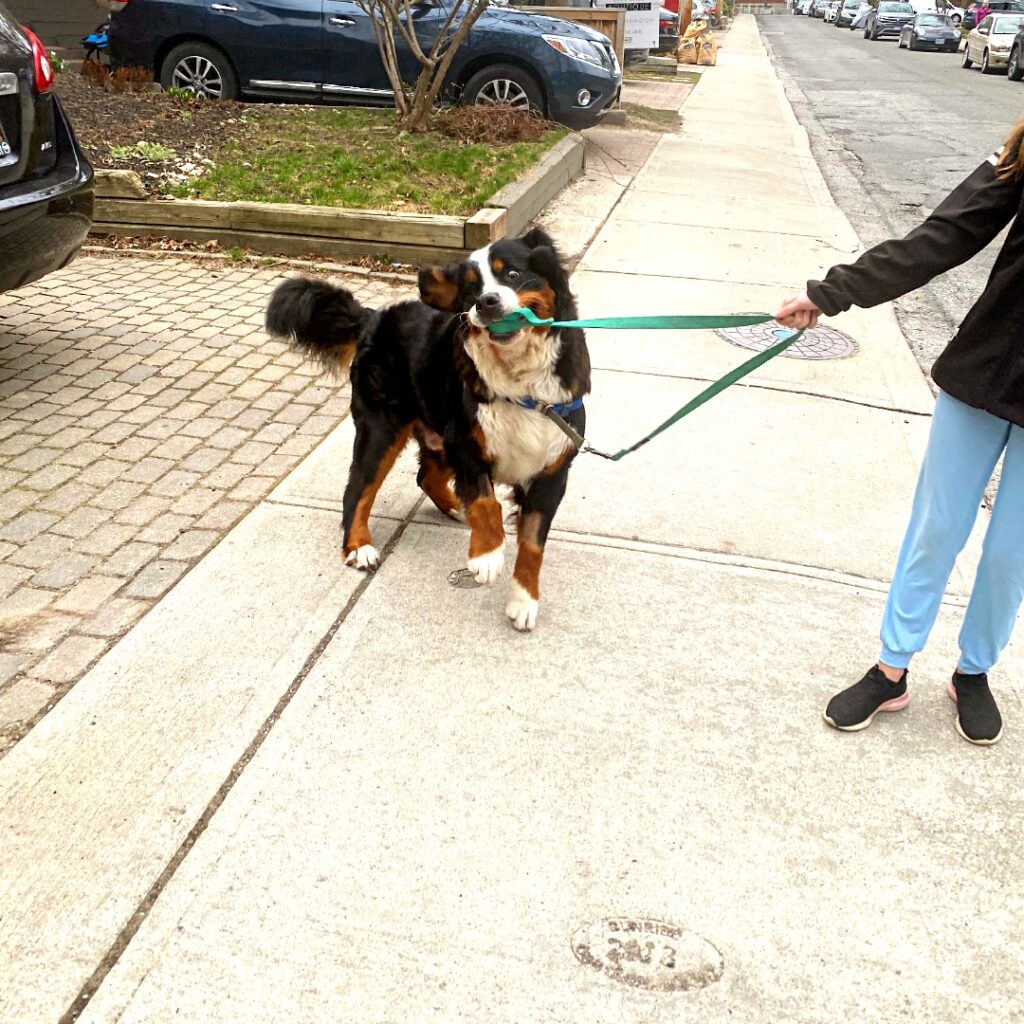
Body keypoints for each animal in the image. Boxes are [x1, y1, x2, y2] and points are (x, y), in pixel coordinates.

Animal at [264, 229, 593, 630]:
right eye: (471, 288)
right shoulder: (466, 442)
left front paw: (524, 600)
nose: (485, 302)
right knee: (357, 490)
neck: (520, 384)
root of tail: (376, 317)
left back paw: (455, 510)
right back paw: (359, 547)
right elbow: (486, 502)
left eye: (513, 274)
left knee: (426, 477)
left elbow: (532, 544)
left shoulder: (551, 470)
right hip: (382, 429)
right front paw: (487, 556)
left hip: (435, 428)